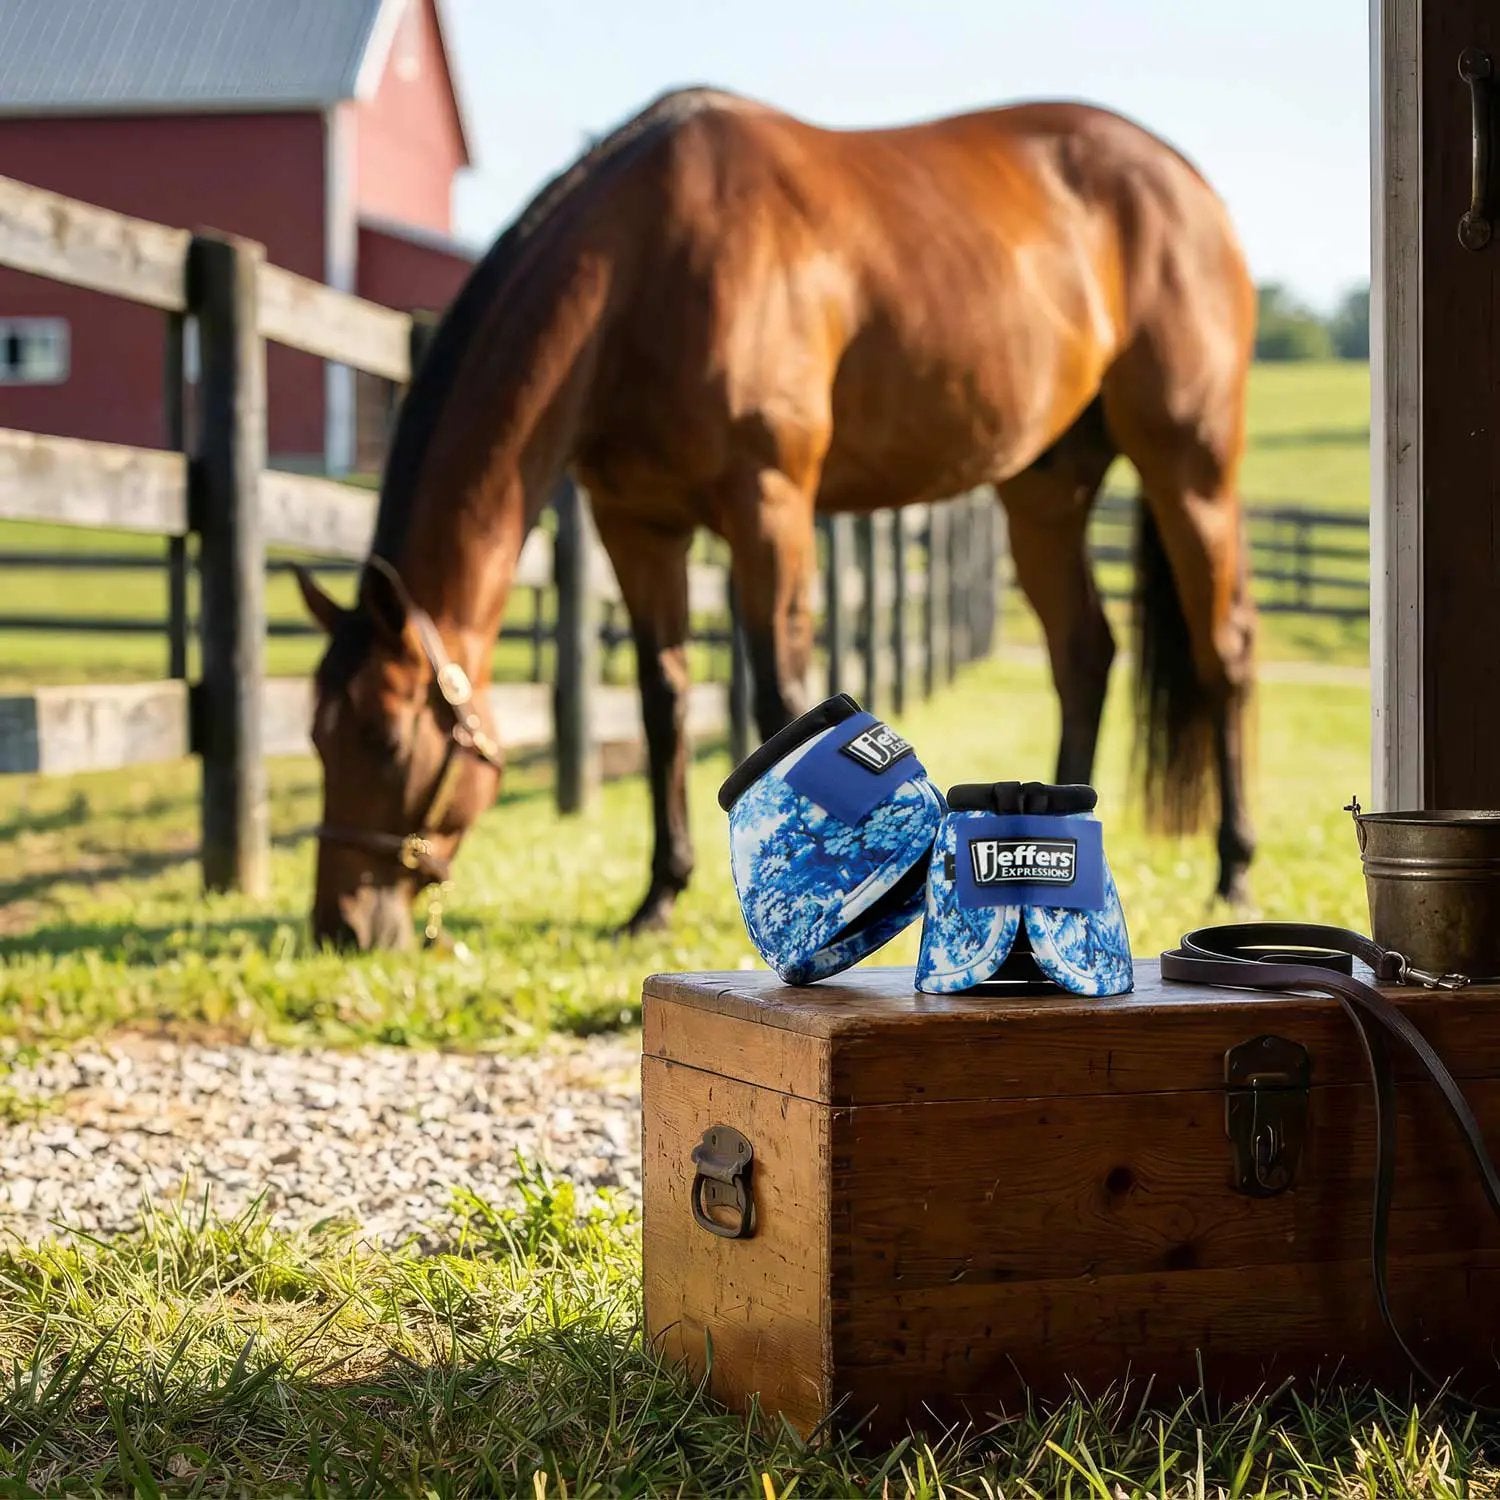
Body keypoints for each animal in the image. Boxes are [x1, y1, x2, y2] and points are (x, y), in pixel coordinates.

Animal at [295, 86, 1257, 951]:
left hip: (1191, 468)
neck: (647, 264)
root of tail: (1190, 188)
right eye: (315, 736)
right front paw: (658, 898)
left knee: (1226, 651)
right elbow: (664, 701)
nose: (343, 926)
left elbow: (784, 697)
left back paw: (1234, 866)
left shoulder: (771, 503)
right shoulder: (637, 525)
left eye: (387, 742)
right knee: (1083, 652)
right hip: (1044, 492)